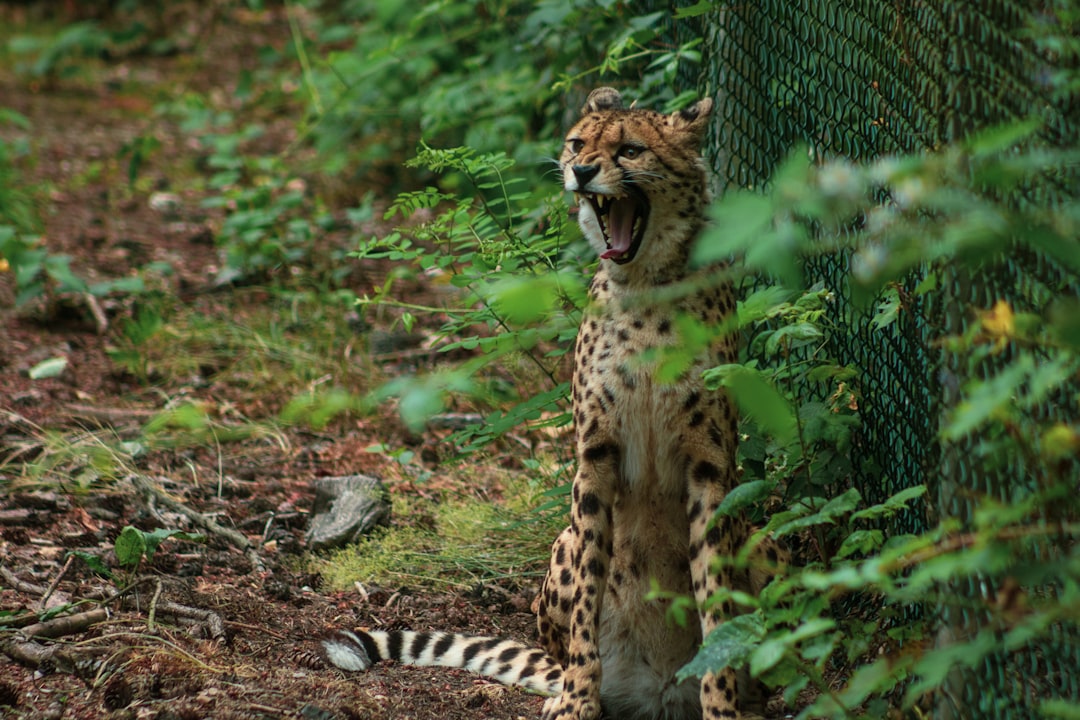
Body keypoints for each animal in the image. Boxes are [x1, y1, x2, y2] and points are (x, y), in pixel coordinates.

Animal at [315, 88, 773, 720]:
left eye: (630, 149)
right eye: (578, 143)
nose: (580, 172)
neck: (646, 286)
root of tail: (657, 691)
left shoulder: (711, 467)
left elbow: (717, 608)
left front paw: (722, 703)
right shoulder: (595, 457)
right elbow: (586, 603)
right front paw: (579, 700)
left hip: (763, 538)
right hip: (563, 544)